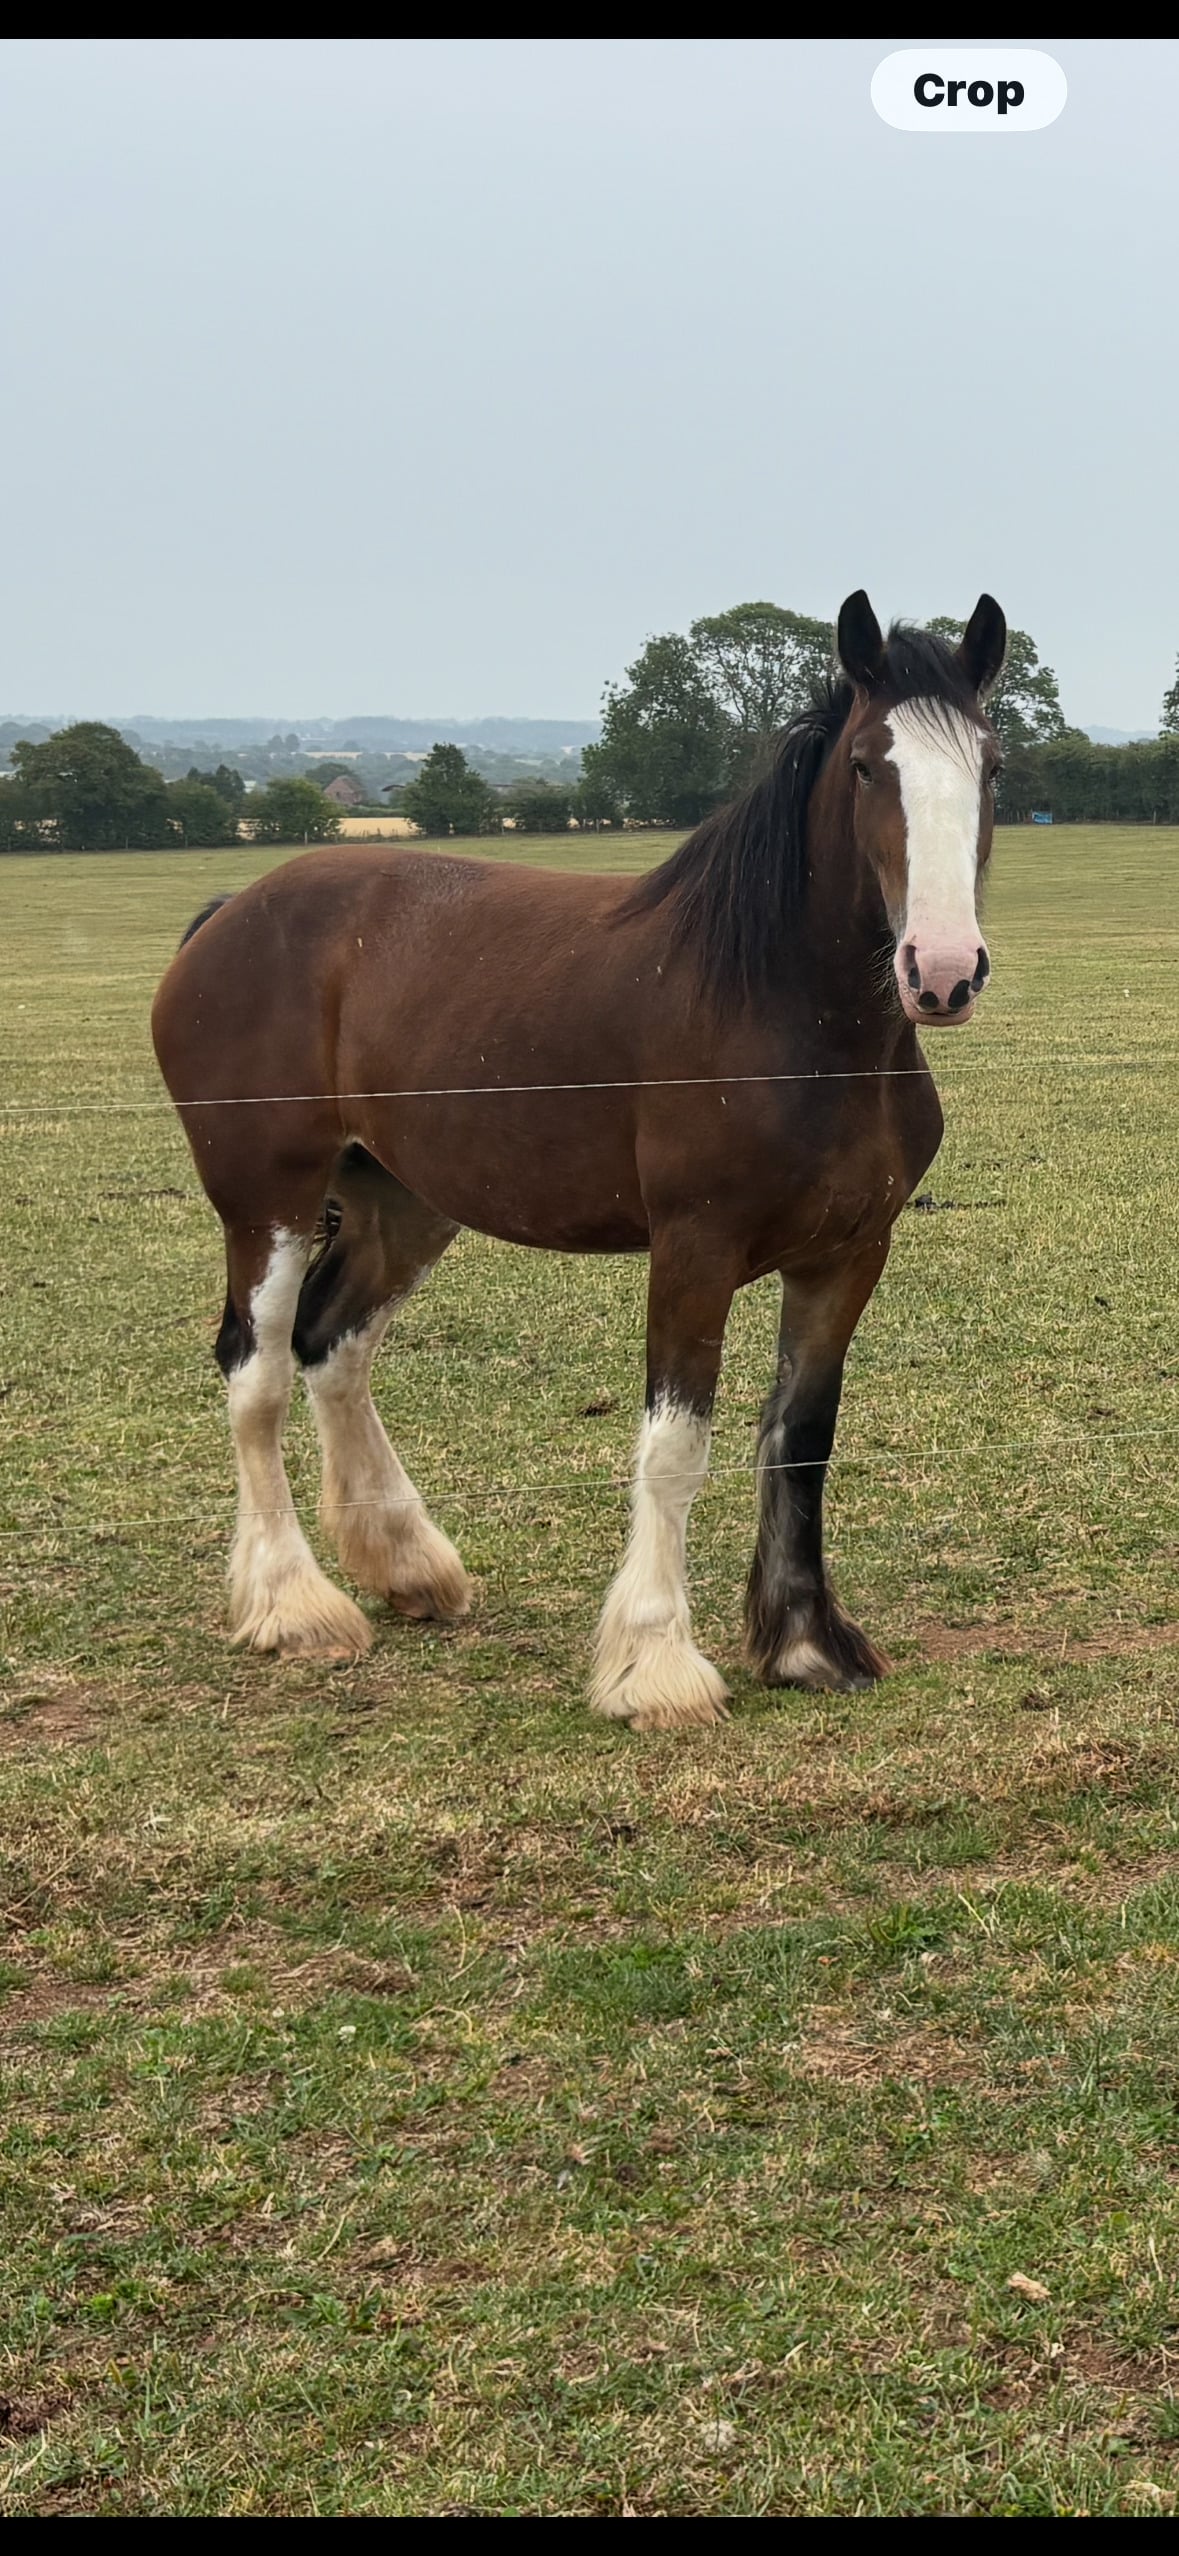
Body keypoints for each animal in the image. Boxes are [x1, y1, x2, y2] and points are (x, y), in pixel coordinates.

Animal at [151, 590, 1006, 1731]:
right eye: (872, 765)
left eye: (990, 767)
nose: (942, 971)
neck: (792, 1016)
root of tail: (229, 915)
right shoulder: (694, 1249)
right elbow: (675, 1447)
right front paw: (656, 1662)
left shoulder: (847, 1254)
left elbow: (803, 1435)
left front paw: (805, 1643)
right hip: (268, 1201)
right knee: (256, 1373)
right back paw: (294, 1607)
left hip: (403, 1203)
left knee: (333, 1346)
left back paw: (408, 1563)